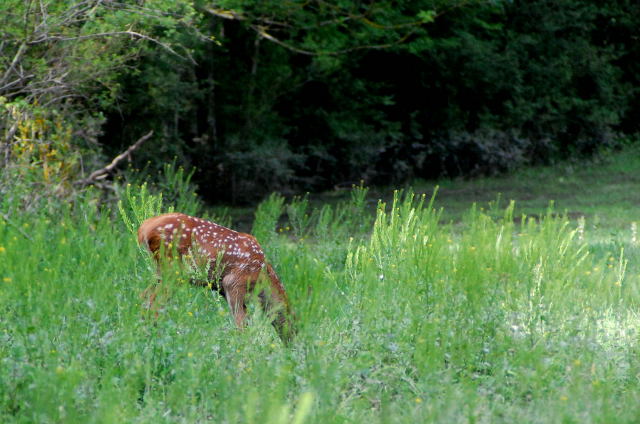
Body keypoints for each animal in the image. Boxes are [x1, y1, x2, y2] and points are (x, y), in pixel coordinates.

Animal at [138, 214, 296, 342]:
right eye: (292, 320)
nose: (291, 342)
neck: (262, 276)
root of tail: (144, 228)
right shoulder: (233, 283)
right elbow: (241, 324)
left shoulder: (222, 289)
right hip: (174, 270)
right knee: (154, 304)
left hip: (161, 272)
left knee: (144, 297)